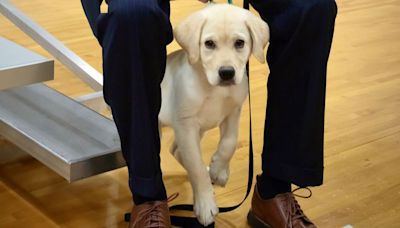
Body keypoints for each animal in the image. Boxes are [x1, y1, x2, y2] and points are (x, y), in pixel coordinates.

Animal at [159, 3, 268, 226]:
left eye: (239, 43)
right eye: (209, 44)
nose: (226, 73)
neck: (213, 87)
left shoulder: (233, 113)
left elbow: (229, 143)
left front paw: (218, 169)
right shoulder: (186, 125)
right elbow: (196, 166)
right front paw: (205, 203)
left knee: (176, 150)